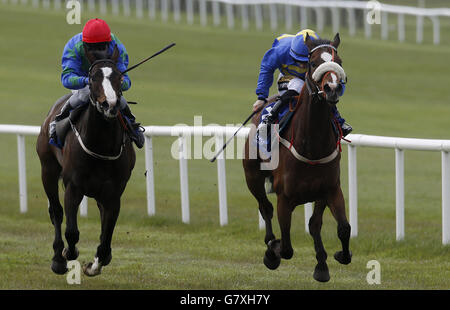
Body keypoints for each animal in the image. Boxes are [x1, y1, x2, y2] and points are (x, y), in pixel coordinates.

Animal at [35, 44, 135, 276]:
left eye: (119, 77)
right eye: (92, 78)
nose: (110, 105)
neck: (101, 145)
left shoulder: (114, 192)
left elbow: (106, 236)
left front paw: (95, 264)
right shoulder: (73, 186)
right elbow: (71, 232)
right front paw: (67, 255)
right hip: (48, 169)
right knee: (56, 211)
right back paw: (58, 258)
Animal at [243, 32, 352, 282]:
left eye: (339, 62)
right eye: (313, 63)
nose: (332, 88)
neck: (312, 145)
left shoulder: (330, 190)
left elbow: (340, 227)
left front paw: (331, 260)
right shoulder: (285, 198)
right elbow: (286, 248)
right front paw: (272, 252)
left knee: (313, 224)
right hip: (252, 177)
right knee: (265, 207)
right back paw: (269, 244)